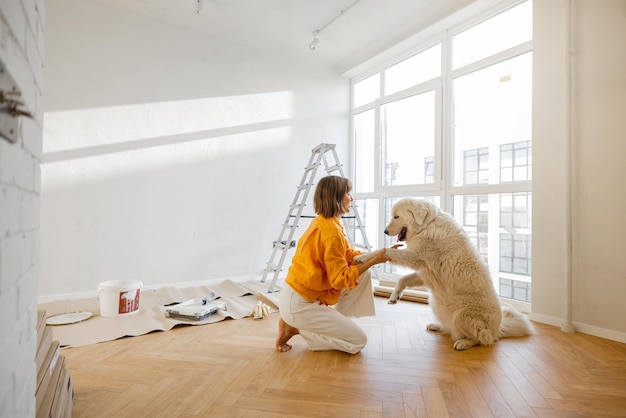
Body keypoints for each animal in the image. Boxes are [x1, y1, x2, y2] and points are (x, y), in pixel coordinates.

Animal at [354, 198, 528, 350]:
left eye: (396, 216)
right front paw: (394, 296)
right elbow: (403, 279)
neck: (427, 225)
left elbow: (385, 251)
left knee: (483, 338)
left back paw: (464, 343)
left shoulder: (415, 256)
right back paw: (437, 326)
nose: (385, 231)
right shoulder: (424, 270)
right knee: (454, 329)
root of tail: (498, 330)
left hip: (462, 314)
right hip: (435, 303)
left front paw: (363, 257)